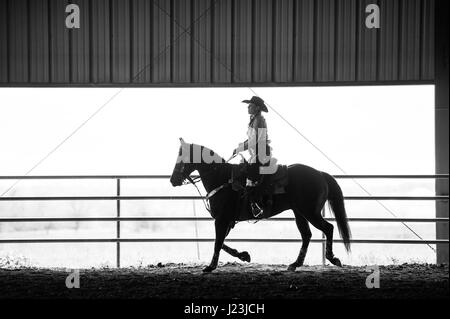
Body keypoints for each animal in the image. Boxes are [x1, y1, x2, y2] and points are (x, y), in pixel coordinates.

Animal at [171, 139, 350, 274]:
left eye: (181, 157)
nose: (173, 180)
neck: (222, 179)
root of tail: (320, 173)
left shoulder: (221, 220)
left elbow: (217, 243)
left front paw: (210, 267)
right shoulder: (226, 221)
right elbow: (222, 243)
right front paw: (243, 255)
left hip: (310, 212)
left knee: (328, 228)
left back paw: (333, 258)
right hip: (299, 212)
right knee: (306, 235)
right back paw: (295, 264)